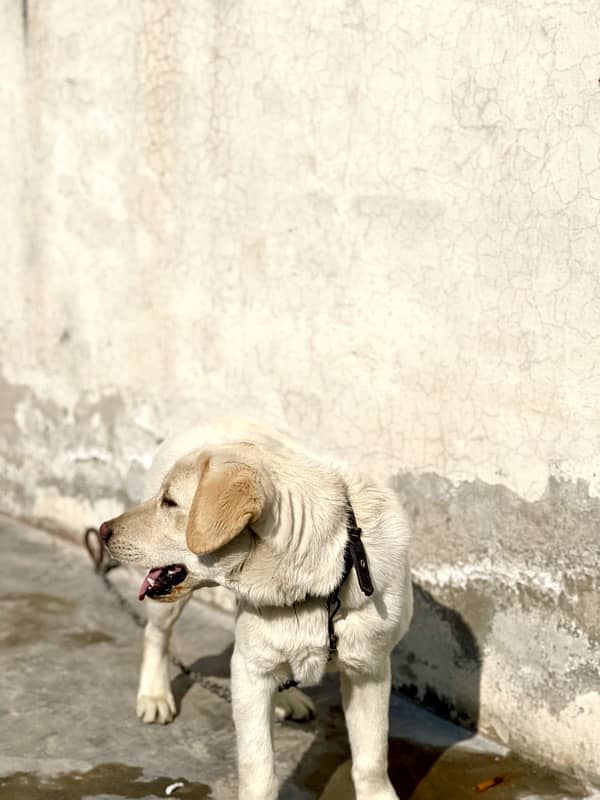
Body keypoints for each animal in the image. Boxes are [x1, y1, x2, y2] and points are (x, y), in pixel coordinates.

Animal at [102, 418, 412, 800]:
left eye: (170, 502)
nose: (103, 530)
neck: (320, 579)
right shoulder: (249, 673)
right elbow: (259, 768)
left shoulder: (369, 669)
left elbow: (372, 758)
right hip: (170, 607)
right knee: (155, 636)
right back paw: (155, 695)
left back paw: (286, 698)